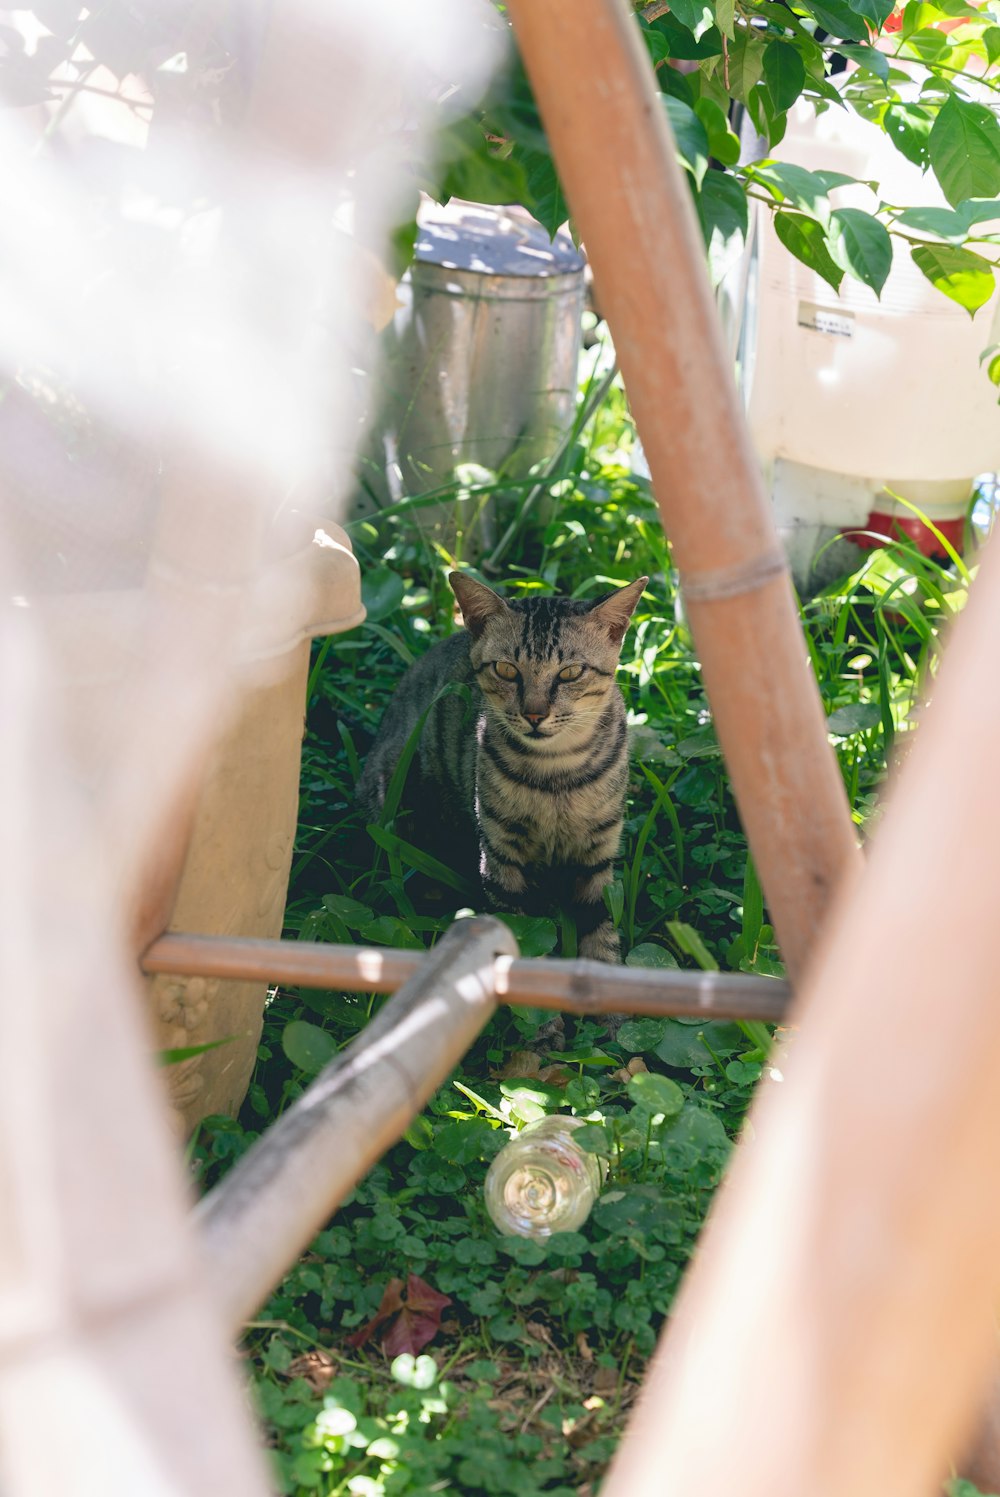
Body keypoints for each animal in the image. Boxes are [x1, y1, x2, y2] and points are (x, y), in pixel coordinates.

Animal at [359, 565, 649, 964]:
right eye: (506, 670)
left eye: (571, 672)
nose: (534, 715)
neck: (556, 773)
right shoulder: (500, 853)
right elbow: (515, 933)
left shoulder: (598, 855)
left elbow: (600, 935)